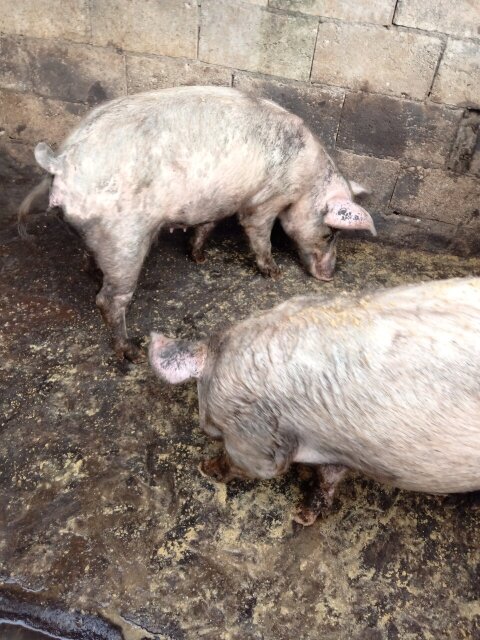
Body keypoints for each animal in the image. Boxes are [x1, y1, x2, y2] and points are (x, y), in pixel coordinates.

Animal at [18, 86, 375, 361]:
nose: (329, 277)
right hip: (124, 238)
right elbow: (259, 232)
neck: (306, 181)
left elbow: (206, 226)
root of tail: (61, 160)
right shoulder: (265, 200)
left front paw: (199, 257)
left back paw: (94, 275)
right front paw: (273, 272)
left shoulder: (216, 202)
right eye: (330, 233)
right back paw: (131, 352)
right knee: (109, 299)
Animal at [149, 277, 480, 526]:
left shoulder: (255, 434)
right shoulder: (340, 446)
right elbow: (330, 477)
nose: (204, 427)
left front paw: (205, 468)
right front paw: (303, 516)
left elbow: (253, 466)